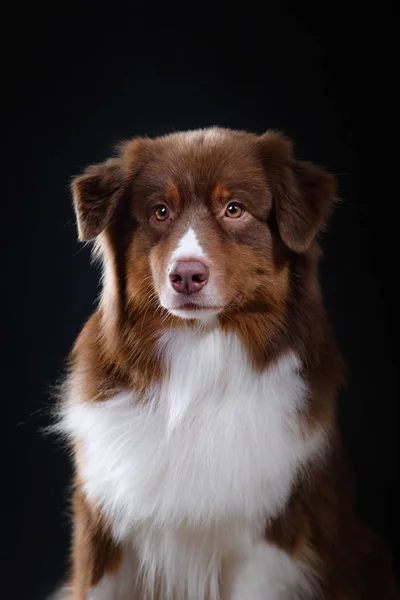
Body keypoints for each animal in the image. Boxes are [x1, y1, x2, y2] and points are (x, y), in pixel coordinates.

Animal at [52, 127, 396, 600]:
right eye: (160, 211)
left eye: (234, 209)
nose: (186, 275)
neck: (200, 352)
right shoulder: (101, 526)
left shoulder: (270, 538)